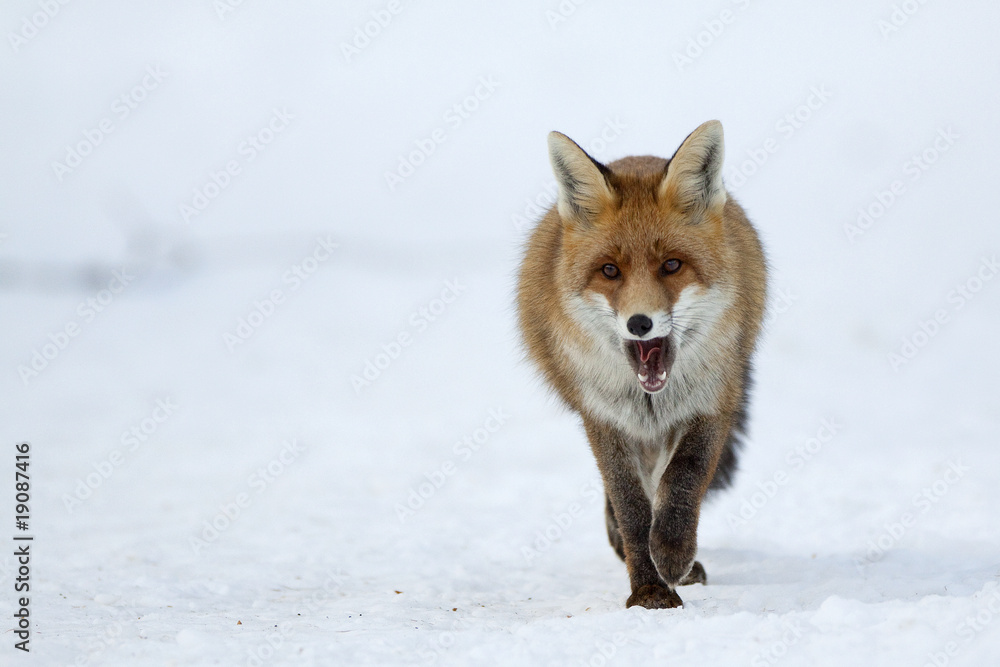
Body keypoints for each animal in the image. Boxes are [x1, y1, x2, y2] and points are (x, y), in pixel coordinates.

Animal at [516, 120, 767, 609]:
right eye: (610, 271)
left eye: (671, 265)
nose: (639, 323)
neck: (649, 398)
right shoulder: (602, 417)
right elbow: (631, 507)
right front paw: (648, 588)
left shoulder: (713, 403)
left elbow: (683, 480)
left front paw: (672, 552)